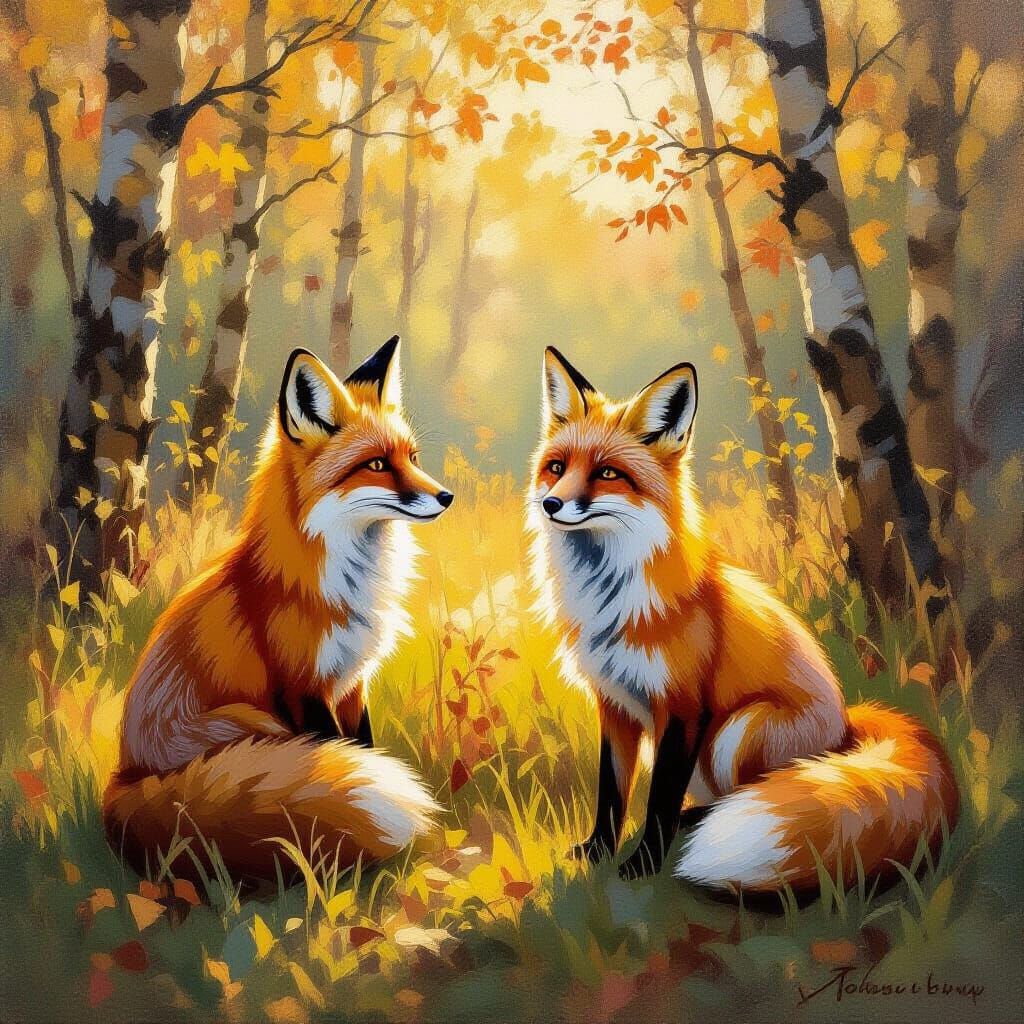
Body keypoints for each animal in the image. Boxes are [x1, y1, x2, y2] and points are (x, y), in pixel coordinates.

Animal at [104, 337, 453, 887]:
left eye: (412, 457)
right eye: (377, 464)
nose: (445, 496)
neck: (347, 581)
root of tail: (125, 783)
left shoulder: (352, 680)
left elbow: (362, 748)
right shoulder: (302, 684)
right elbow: (339, 752)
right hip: (254, 721)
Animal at [528, 346, 958, 891]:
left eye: (607, 473)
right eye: (556, 467)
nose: (551, 503)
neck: (609, 596)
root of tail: (847, 729)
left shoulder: (683, 706)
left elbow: (659, 801)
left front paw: (643, 865)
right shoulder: (616, 703)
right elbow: (611, 793)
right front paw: (597, 852)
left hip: (740, 729)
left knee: (743, 795)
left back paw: (709, 826)